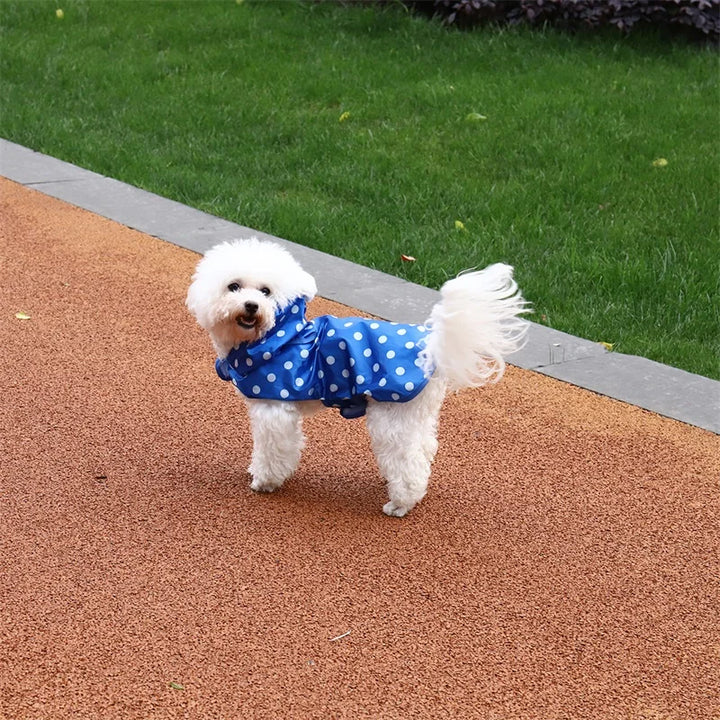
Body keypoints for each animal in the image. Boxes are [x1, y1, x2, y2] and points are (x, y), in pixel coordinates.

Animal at [186, 240, 528, 516]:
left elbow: (273, 450)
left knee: (409, 464)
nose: (251, 305)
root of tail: (431, 346)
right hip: (417, 414)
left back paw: (400, 503)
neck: (275, 336)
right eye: (233, 287)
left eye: (266, 291)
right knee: (424, 448)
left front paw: (265, 480)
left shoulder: (274, 411)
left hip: (391, 417)